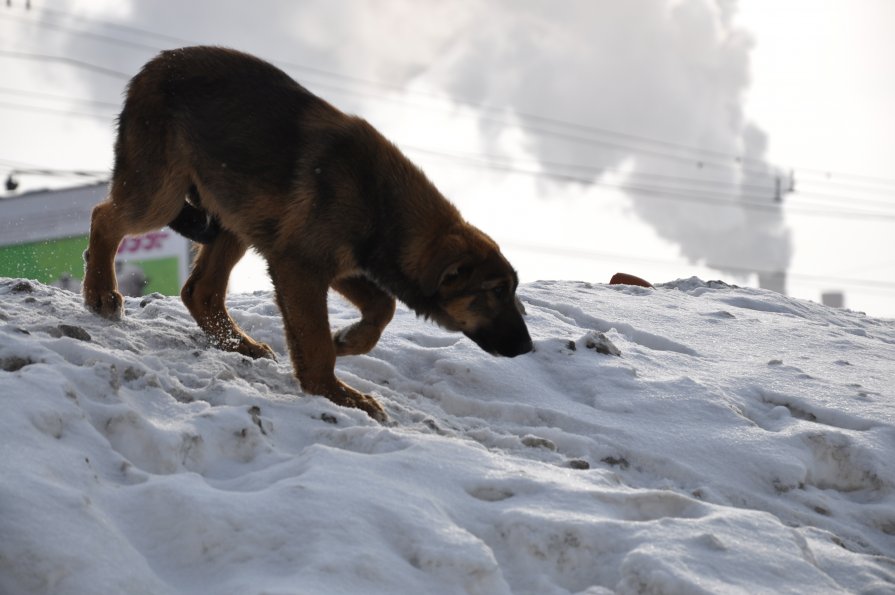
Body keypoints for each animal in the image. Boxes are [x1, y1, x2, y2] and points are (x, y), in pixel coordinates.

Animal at [82, 46, 532, 422]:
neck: (383, 204)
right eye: (495, 291)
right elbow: (315, 341)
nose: (529, 348)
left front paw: (348, 341)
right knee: (104, 217)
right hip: (162, 194)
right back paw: (101, 293)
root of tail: (155, 64)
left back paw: (239, 344)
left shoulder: (340, 264)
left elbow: (382, 306)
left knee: (200, 290)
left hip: (235, 214)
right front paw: (335, 393)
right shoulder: (300, 266)